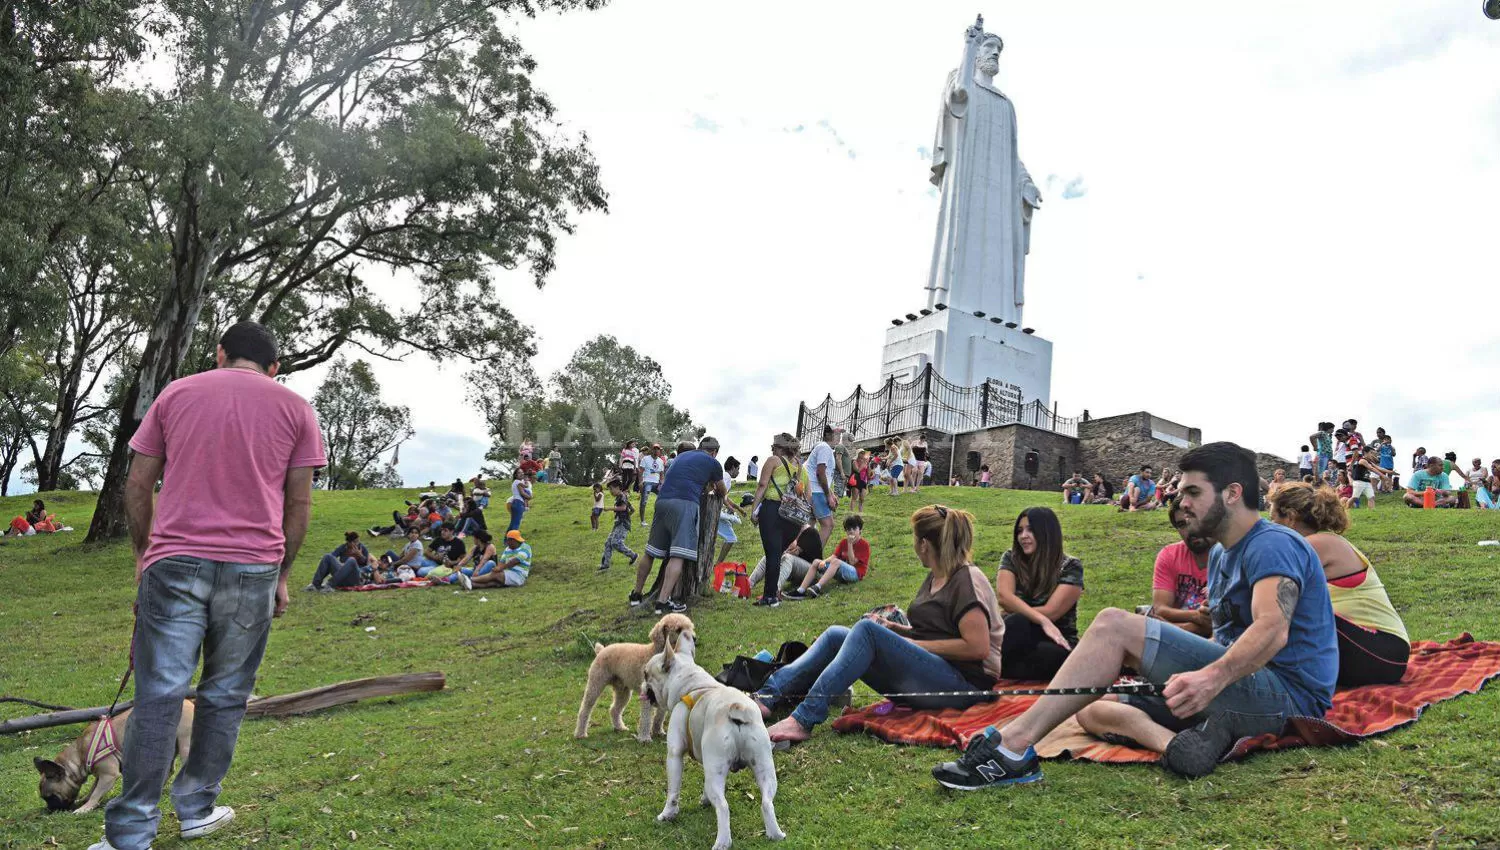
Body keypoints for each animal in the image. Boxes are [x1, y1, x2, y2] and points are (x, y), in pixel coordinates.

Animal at [35, 701, 196, 815]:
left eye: (51, 797)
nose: (50, 810)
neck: (79, 757)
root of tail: (188, 702)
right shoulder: (100, 775)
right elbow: (93, 788)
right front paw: (85, 799)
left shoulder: (109, 775)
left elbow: (96, 793)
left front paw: (85, 807)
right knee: (168, 770)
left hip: (184, 742)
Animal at [642, 632, 786, 850]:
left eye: (645, 674)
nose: (641, 686)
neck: (693, 685)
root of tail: (737, 709)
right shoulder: (708, 765)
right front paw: (704, 799)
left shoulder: (674, 755)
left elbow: (673, 792)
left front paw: (668, 814)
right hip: (762, 766)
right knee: (767, 802)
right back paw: (775, 834)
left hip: (717, 772)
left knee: (724, 807)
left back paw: (722, 842)